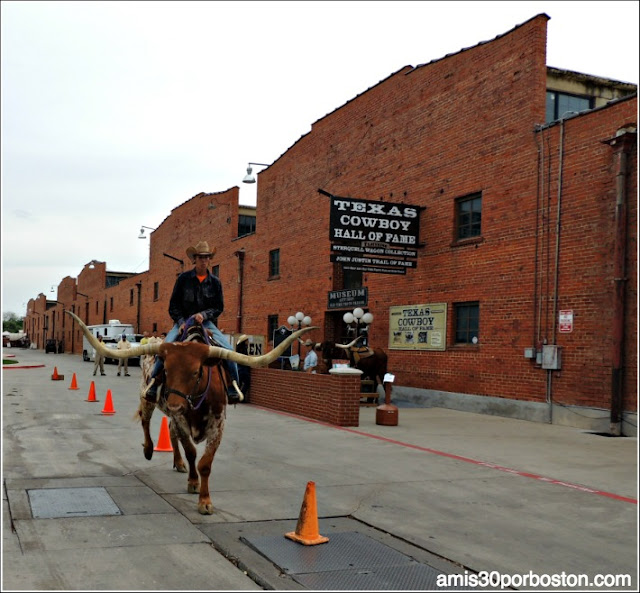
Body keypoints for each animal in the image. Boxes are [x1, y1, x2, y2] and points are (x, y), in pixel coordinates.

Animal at [69, 310, 316, 512]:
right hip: (147, 397)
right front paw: (193, 482)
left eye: (197, 371)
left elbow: (205, 463)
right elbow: (191, 452)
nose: (174, 403)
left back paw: (178, 463)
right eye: (166, 369)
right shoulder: (181, 417)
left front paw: (205, 501)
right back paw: (149, 449)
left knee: (170, 431)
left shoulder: (218, 424)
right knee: (146, 422)